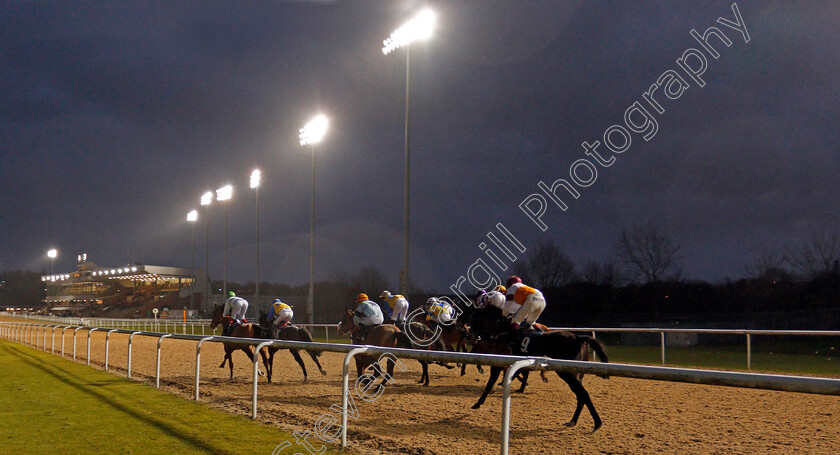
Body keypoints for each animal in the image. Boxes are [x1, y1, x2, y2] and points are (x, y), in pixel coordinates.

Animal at [466, 304, 612, 432]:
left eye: (474, 318)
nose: (472, 334)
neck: (503, 331)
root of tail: (577, 337)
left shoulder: (499, 362)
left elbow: (490, 382)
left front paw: (478, 403)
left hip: (566, 372)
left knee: (583, 394)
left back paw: (596, 423)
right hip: (573, 373)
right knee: (580, 395)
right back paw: (573, 421)